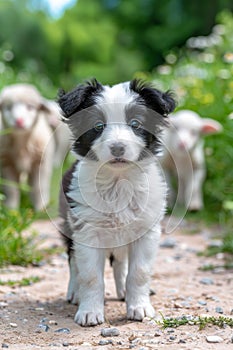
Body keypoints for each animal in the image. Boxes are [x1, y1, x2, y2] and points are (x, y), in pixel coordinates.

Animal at [58, 78, 175, 326]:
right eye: (98, 125)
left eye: (135, 124)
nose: (118, 147)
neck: (118, 182)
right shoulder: (87, 232)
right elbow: (91, 276)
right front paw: (89, 312)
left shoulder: (146, 231)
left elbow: (139, 272)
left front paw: (139, 307)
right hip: (68, 224)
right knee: (73, 260)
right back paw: (74, 292)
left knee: (121, 262)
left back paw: (123, 292)